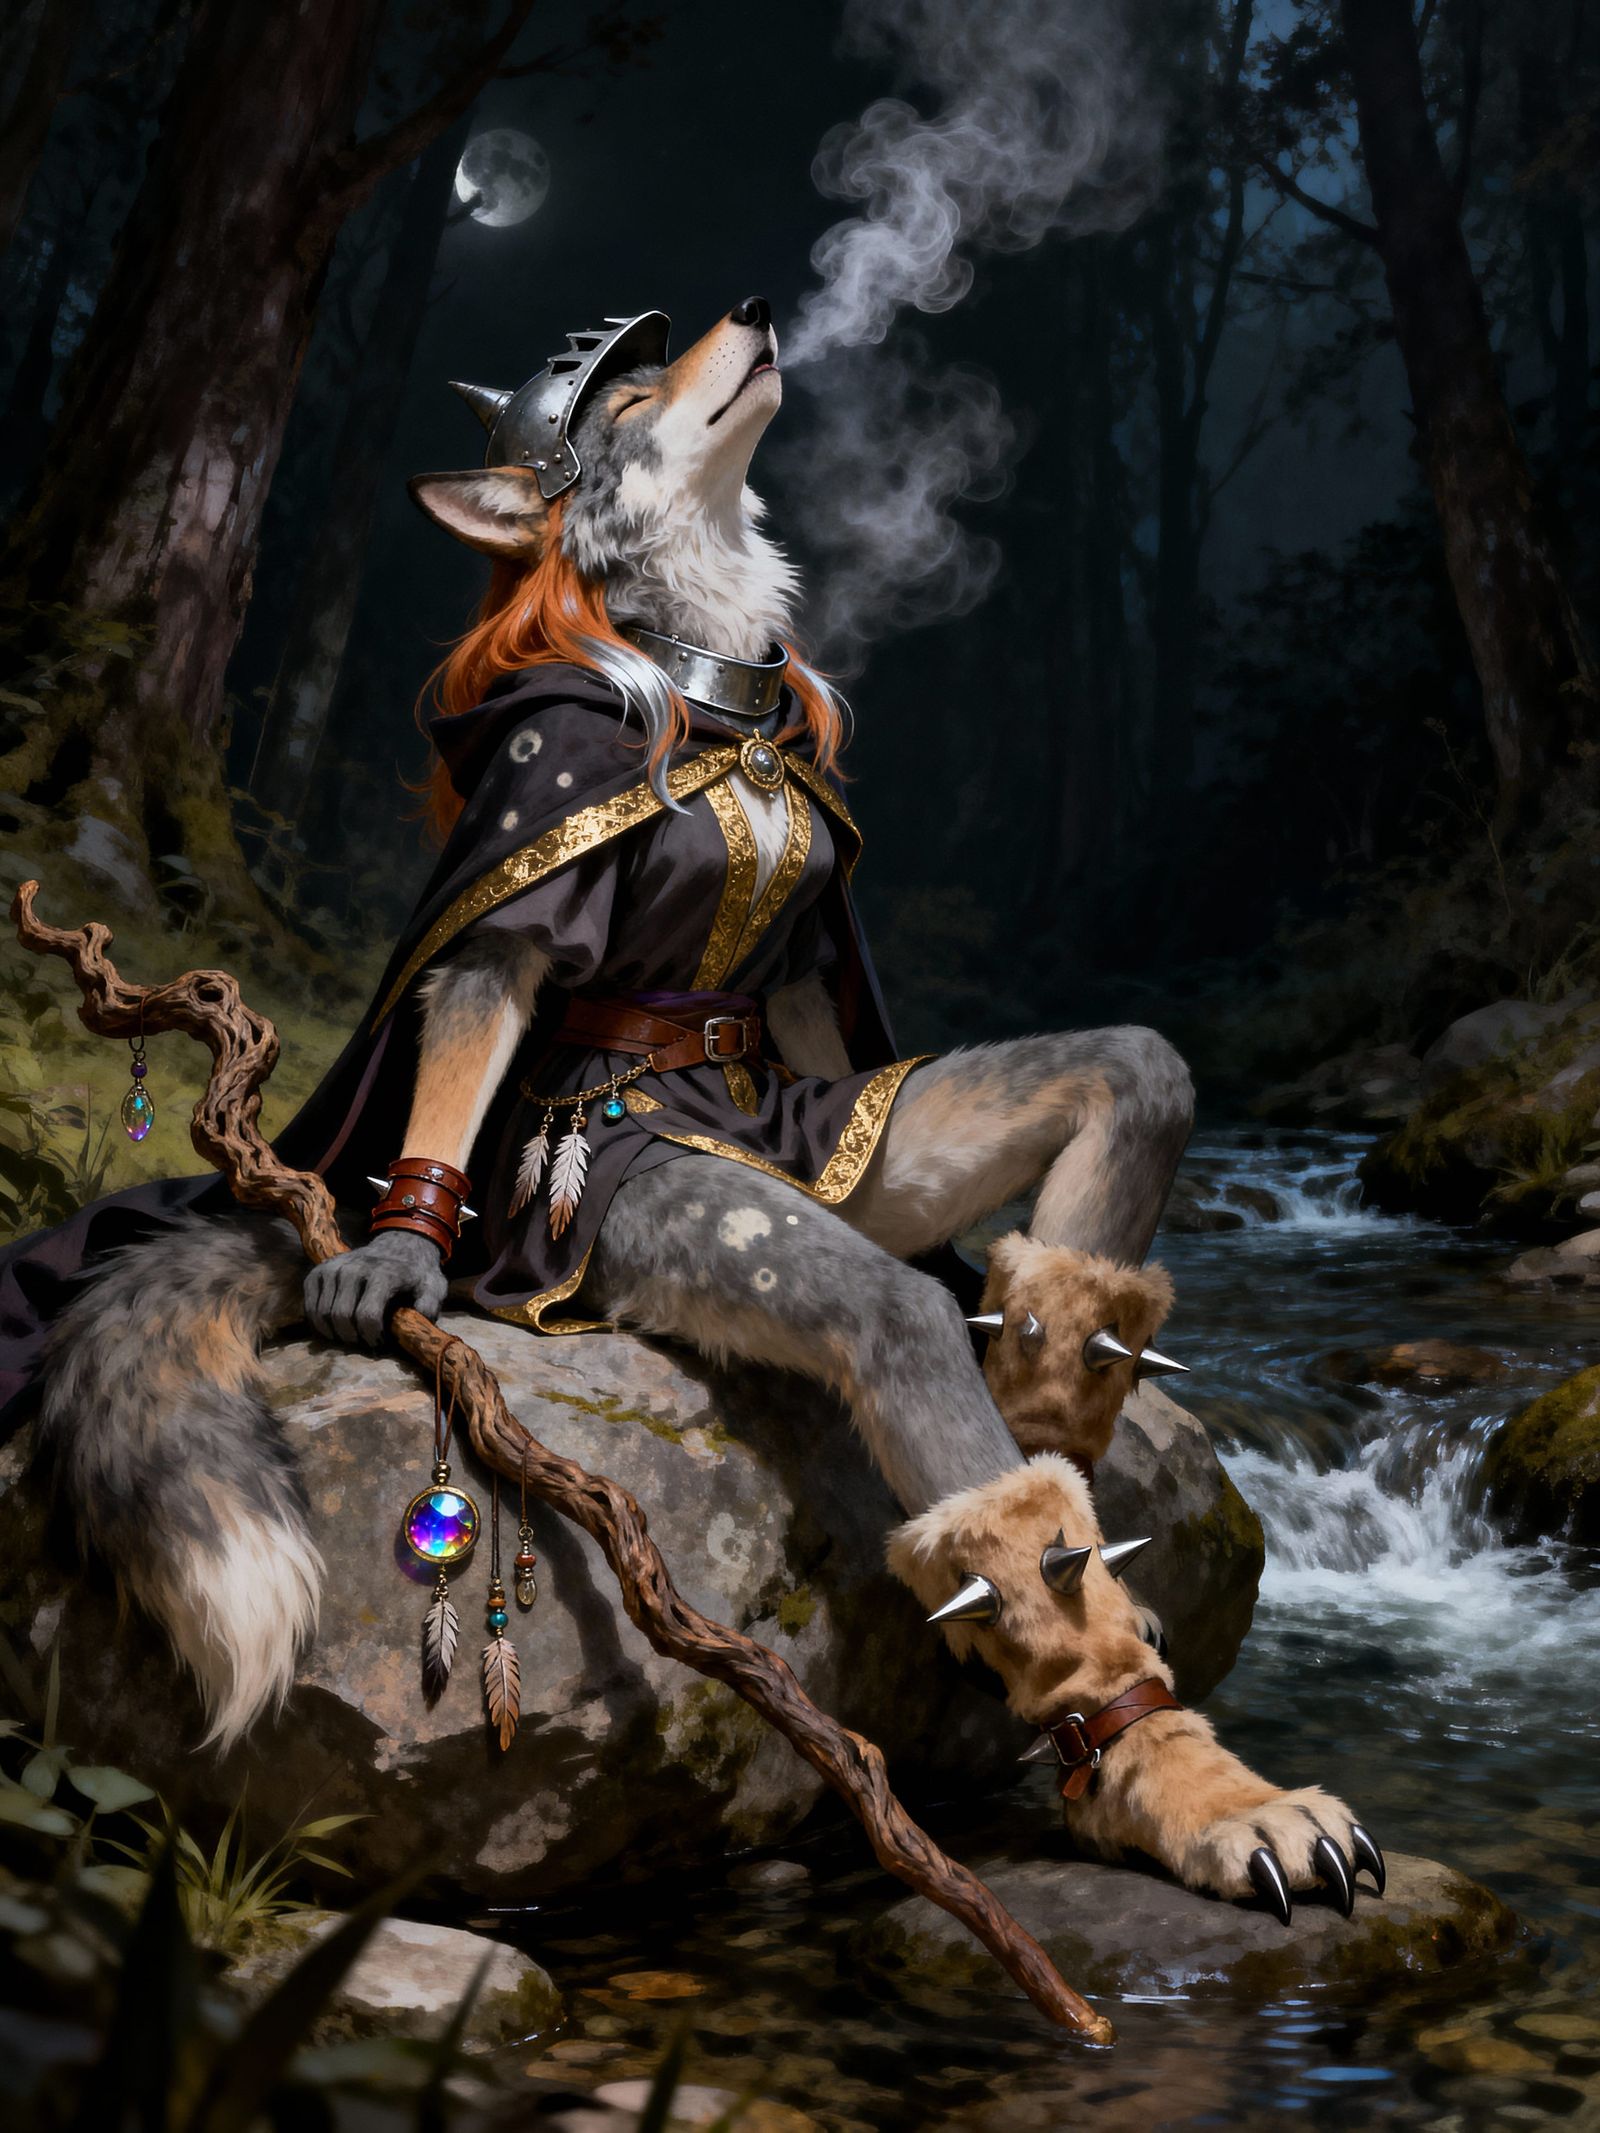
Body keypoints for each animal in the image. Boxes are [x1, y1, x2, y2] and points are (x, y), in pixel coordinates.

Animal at [30, 296, 1380, 1921]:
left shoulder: (808, 985)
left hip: (845, 1152)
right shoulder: (535, 822)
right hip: (667, 1223)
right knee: (903, 1327)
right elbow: (492, 971)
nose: (750, 312)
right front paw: (404, 1252)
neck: (706, 682)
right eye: (618, 405)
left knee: (1131, 1094)